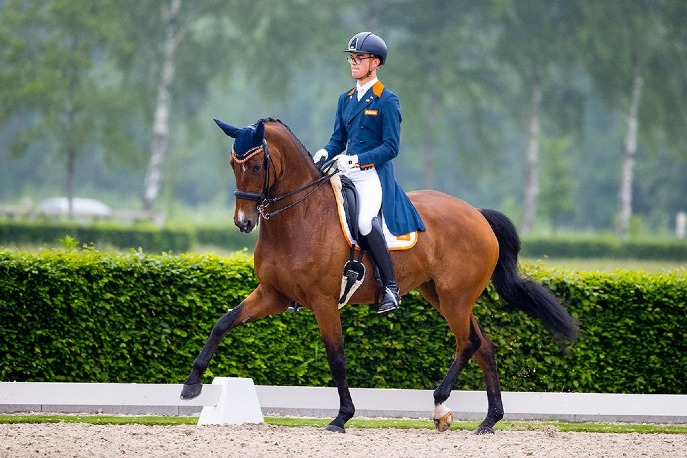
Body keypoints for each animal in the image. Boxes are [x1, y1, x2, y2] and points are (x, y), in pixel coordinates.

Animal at [180, 117, 576, 432]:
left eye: (258, 164)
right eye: (232, 163)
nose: (243, 222)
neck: (299, 217)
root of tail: (476, 214)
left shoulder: (324, 301)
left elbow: (337, 358)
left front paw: (342, 418)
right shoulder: (273, 294)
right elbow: (223, 322)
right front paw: (191, 384)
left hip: (455, 298)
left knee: (468, 344)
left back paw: (440, 406)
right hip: (442, 295)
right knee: (485, 347)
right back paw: (489, 421)